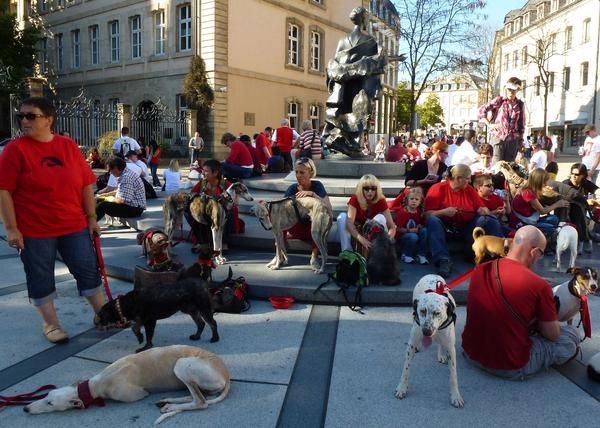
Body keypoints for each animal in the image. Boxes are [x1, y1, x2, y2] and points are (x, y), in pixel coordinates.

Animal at [24, 344, 230, 424]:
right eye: (47, 395)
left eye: (50, 403)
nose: (25, 409)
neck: (96, 384)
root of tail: (226, 375)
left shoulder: (136, 394)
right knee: (199, 396)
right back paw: (167, 401)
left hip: (182, 365)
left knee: (201, 402)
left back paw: (170, 405)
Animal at [394, 274, 464, 408]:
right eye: (422, 311)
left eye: (437, 313)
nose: (426, 332)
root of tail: (431, 275)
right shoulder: (410, 345)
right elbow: (405, 370)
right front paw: (402, 388)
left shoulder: (451, 348)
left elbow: (453, 376)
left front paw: (456, 396)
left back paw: (441, 355)